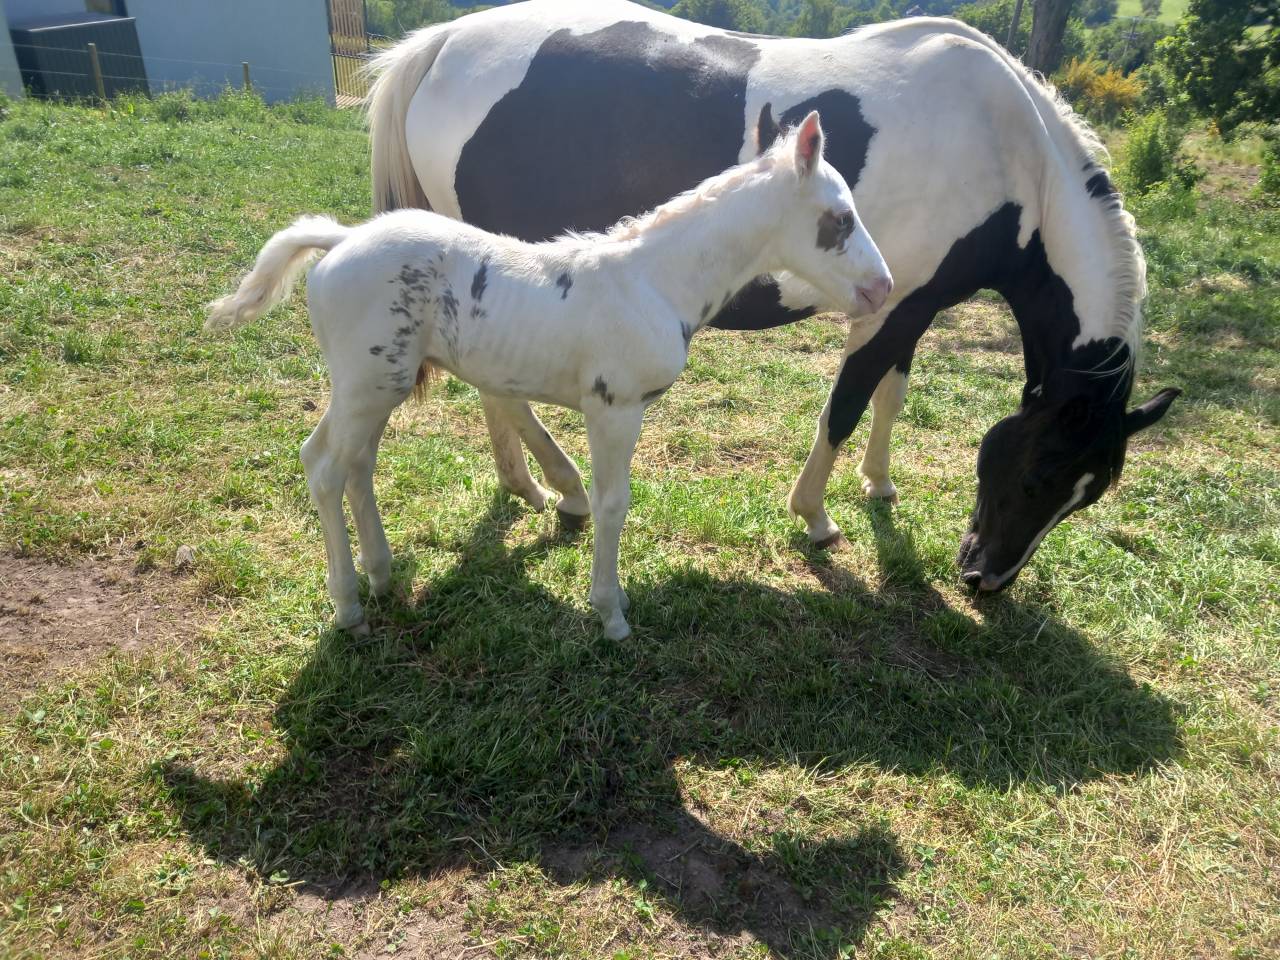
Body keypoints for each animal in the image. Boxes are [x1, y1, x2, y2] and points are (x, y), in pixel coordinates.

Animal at [206, 113, 892, 638]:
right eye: (840, 217)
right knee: (325, 469)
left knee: (349, 464)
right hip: (367, 385)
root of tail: (340, 241)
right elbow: (614, 503)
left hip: (373, 386)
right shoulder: (614, 407)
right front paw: (611, 613)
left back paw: (380, 573)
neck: (654, 280)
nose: (882, 288)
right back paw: (348, 605)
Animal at [365, 0, 1180, 592]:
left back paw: (528, 486)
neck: (1007, 151)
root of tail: (443, 43)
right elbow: (847, 404)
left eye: (1087, 495)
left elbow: (891, 396)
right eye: (1041, 474)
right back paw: (563, 487)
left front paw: (879, 484)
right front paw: (815, 515)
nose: (986, 579)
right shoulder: (891, 307)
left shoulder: (915, 306)